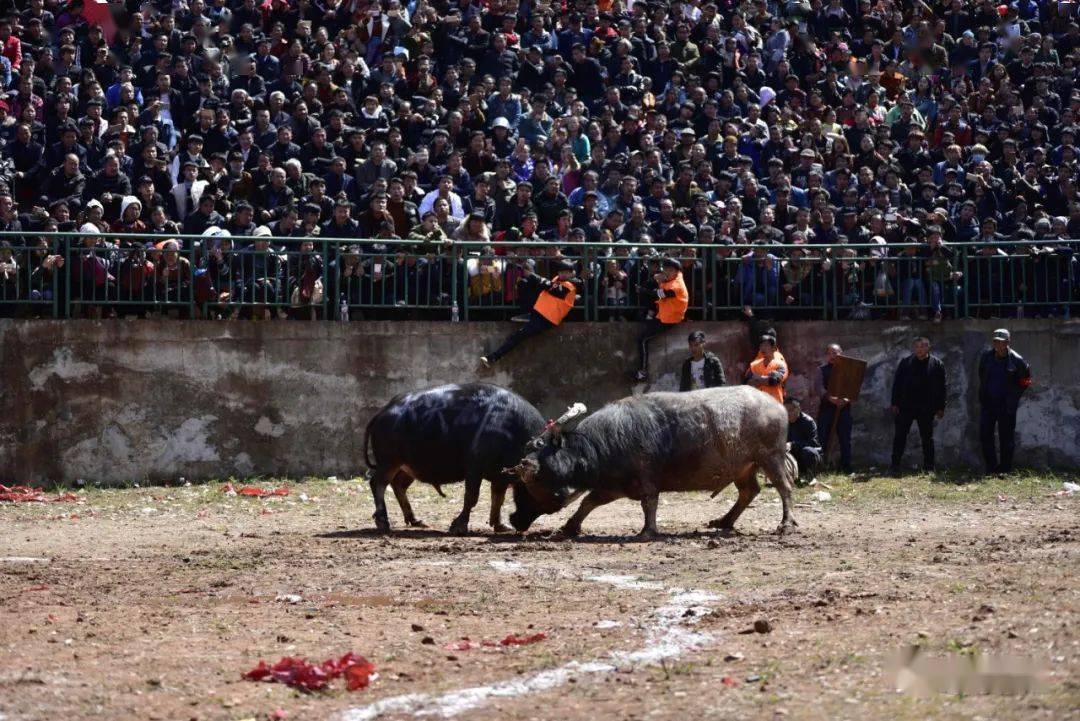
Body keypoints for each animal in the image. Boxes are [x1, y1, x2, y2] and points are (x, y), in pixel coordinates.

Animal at [365, 382, 548, 535]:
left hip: (407, 466)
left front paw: (500, 525)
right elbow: (471, 497)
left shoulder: (500, 475)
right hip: (389, 462)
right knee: (378, 484)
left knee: (398, 486)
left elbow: (498, 498)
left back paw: (416, 520)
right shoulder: (475, 469)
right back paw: (383, 522)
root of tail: (382, 413)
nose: (520, 526)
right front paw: (459, 526)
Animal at [503, 386, 794, 537]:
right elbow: (588, 502)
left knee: (784, 488)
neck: (601, 444)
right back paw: (723, 522)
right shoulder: (613, 485)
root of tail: (776, 405)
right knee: (749, 491)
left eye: (527, 485)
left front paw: (647, 532)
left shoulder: (645, 480)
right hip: (744, 467)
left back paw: (785, 524)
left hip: (771, 457)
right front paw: (570, 527)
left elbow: (649, 504)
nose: (514, 519)